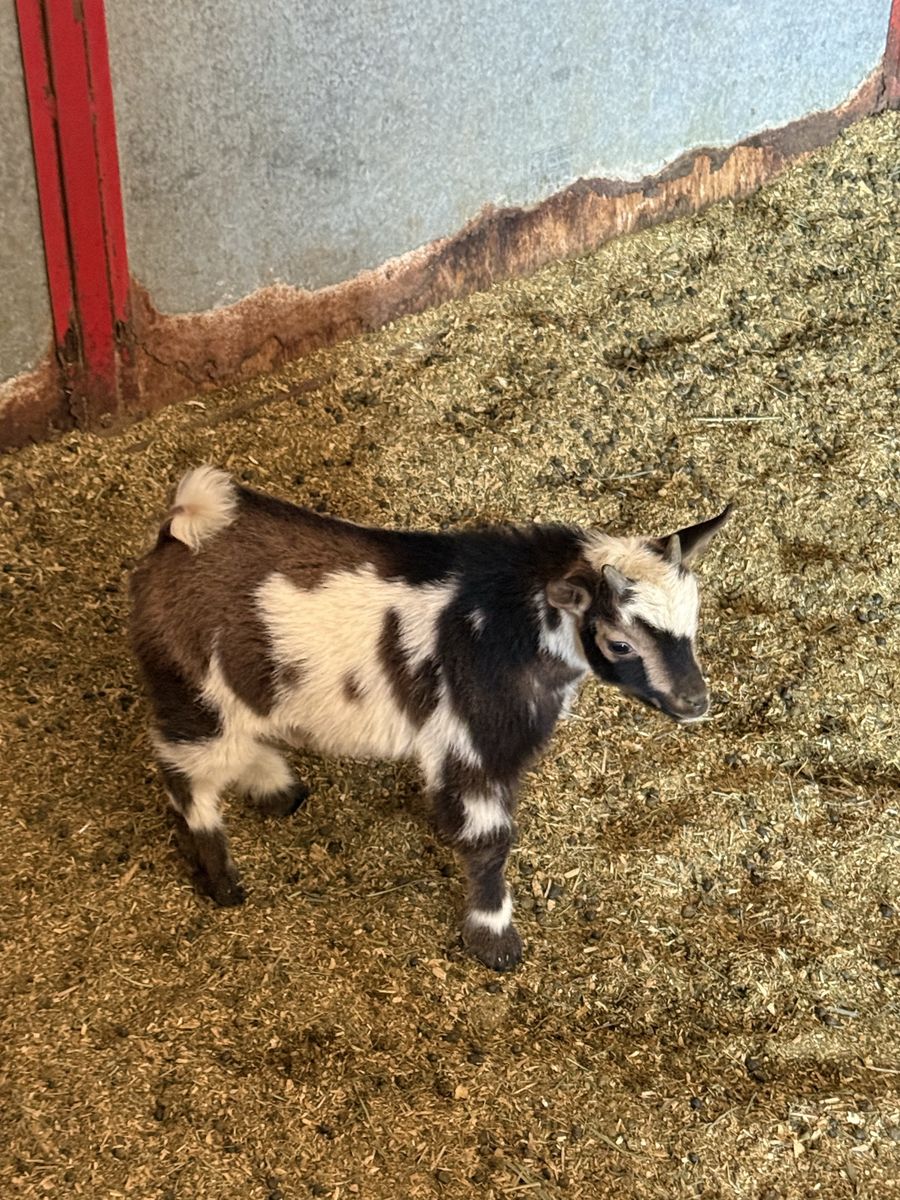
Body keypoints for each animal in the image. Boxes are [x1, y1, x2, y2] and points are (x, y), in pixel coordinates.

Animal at [130, 466, 730, 970]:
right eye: (619, 642)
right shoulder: (471, 745)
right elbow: (490, 842)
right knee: (184, 775)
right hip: (196, 696)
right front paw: (494, 940)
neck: (506, 624)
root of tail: (184, 528)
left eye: (695, 620)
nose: (694, 703)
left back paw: (277, 788)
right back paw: (222, 878)